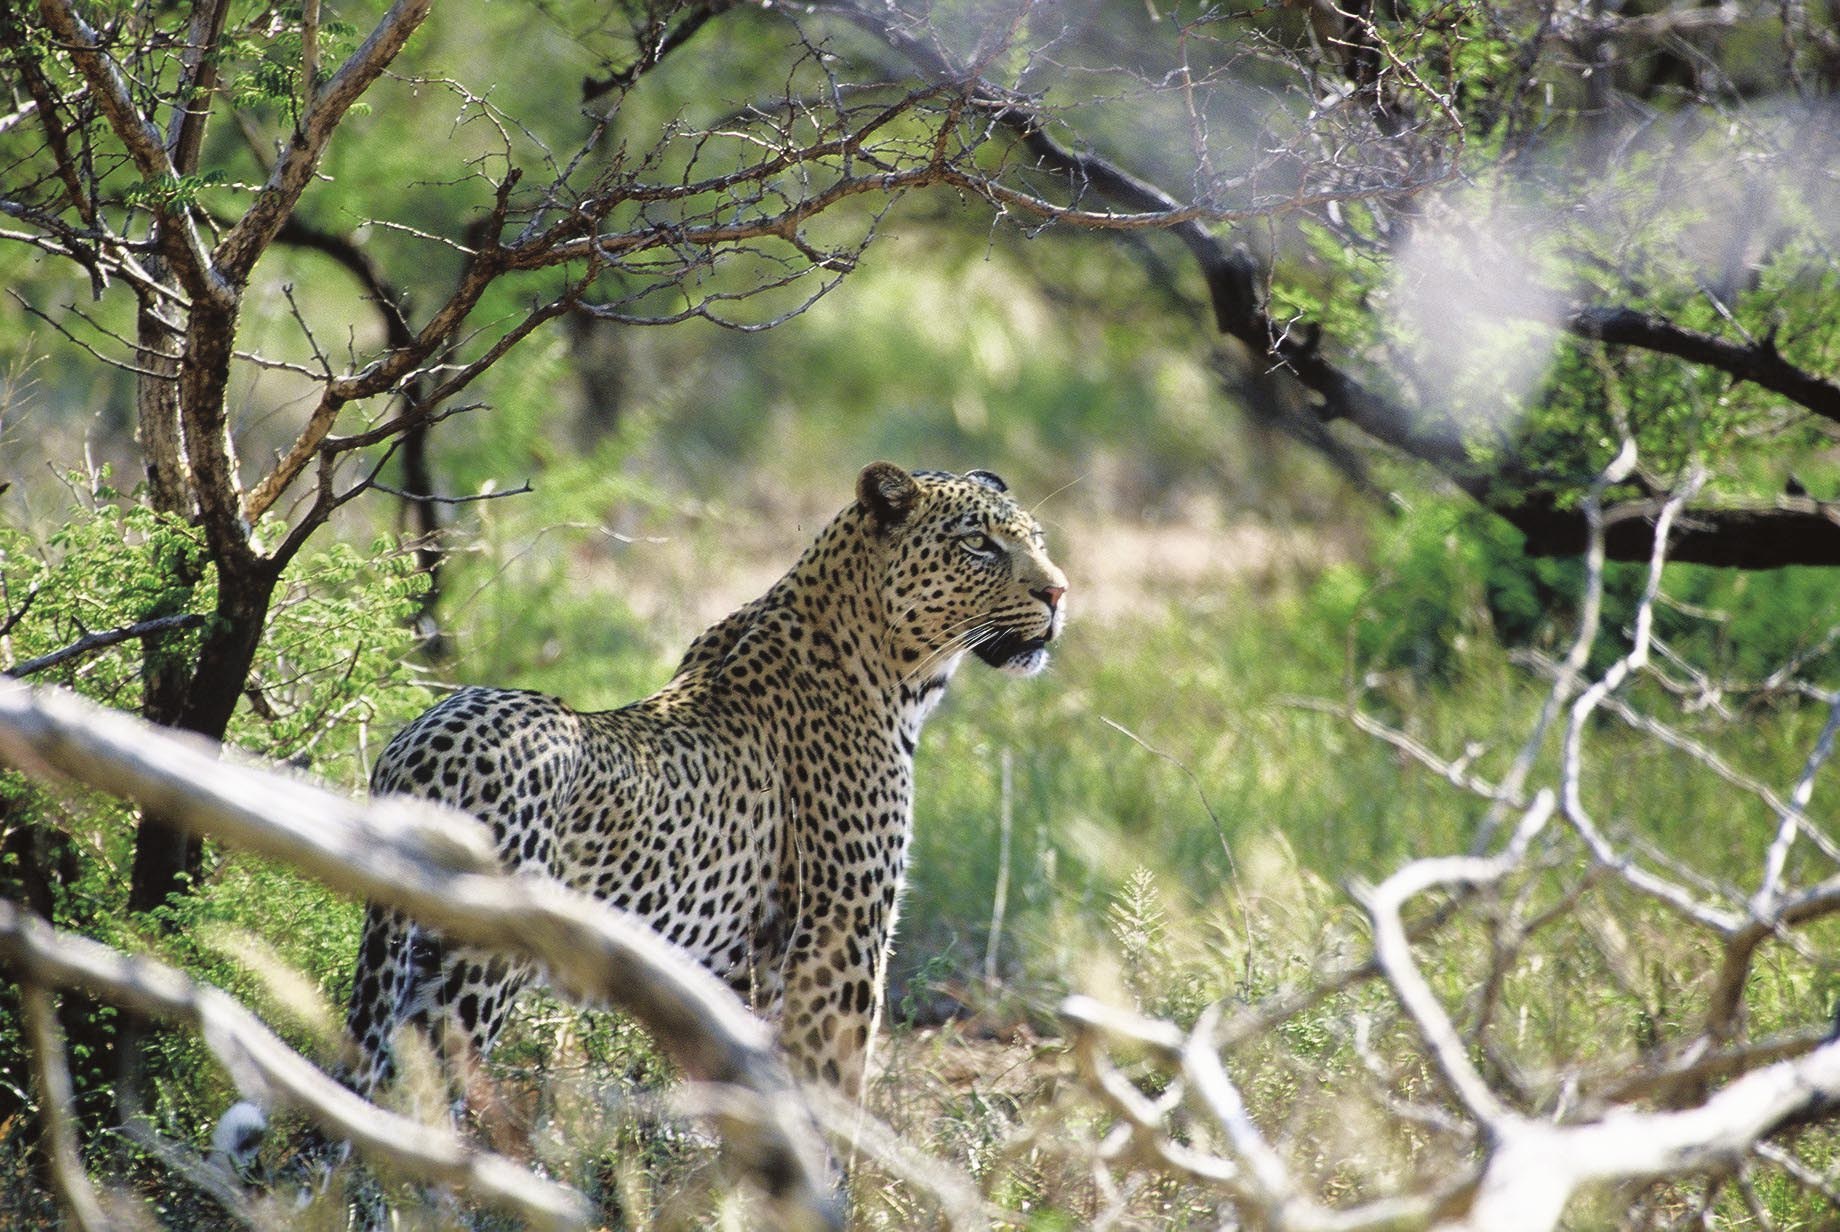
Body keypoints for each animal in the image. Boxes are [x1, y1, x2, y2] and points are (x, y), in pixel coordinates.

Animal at [338, 461, 1068, 1109]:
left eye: (1037, 538)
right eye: (979, 544)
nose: (1059, 594)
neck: (893, 672)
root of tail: (422, 741)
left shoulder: (750, 973)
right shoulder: (840, 938)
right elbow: (834, 1093)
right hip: (471, 969)